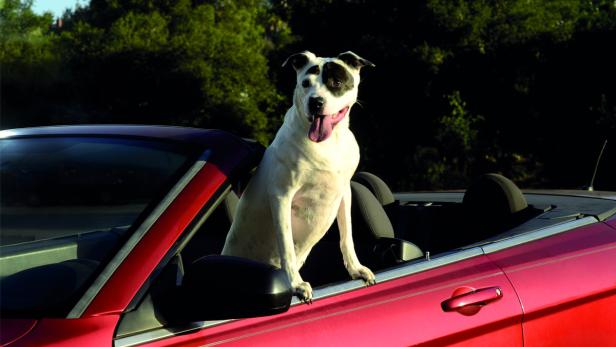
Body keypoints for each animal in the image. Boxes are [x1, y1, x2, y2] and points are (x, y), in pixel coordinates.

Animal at [221, 50, 376, 304]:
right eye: (305, 83)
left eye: (336, 82)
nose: (316, 102)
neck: (328, 144)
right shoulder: (282, 196)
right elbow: (287, 247)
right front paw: (295, 285)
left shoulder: (344, 193)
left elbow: (347, 236)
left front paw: (356, 269)